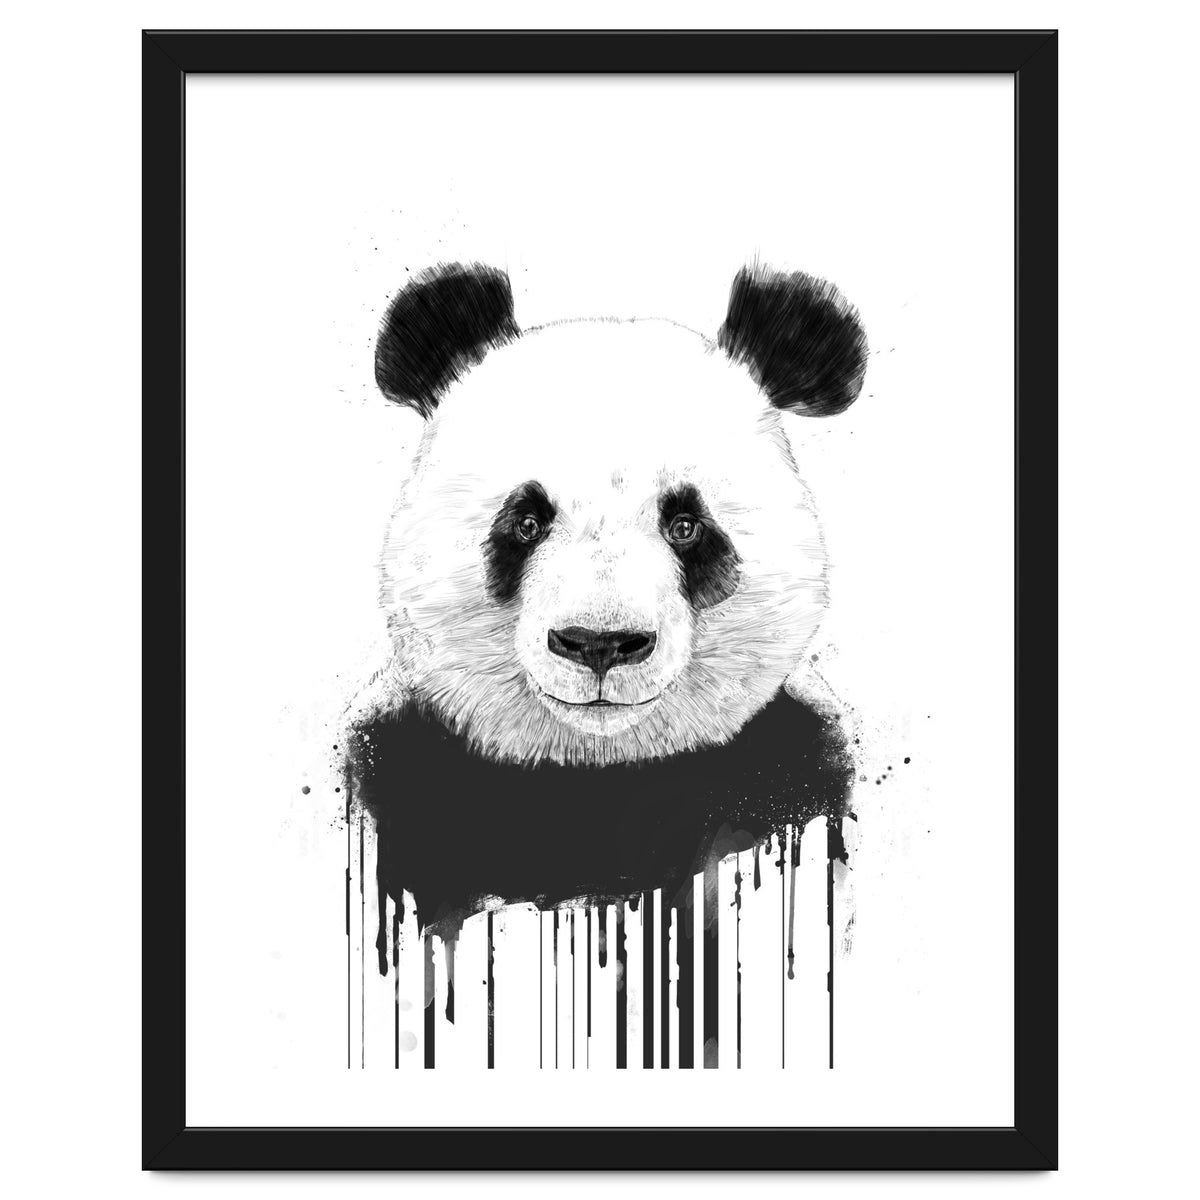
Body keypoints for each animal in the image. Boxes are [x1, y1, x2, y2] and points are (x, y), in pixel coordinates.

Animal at [347, 261, 866, 954]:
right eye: (526, 521)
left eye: (686, 525)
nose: (599, 643)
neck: (598, 774)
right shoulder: (404, 764)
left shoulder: (791, 764)